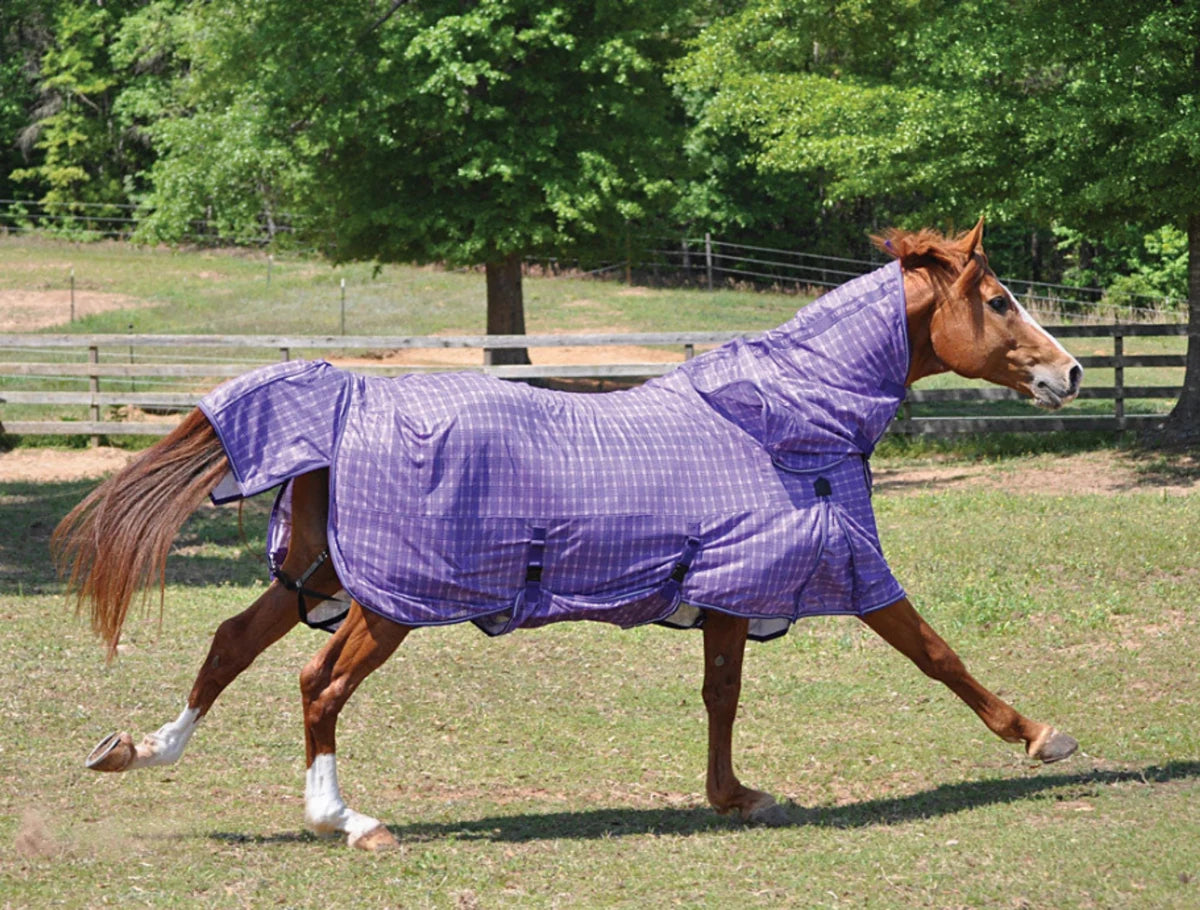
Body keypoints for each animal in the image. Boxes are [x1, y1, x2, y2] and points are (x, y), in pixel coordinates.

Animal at [54, 220, 1083, 851]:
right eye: (999, 301)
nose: (1069, 372)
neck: (780, 421)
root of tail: (345, 403)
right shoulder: (843, 573)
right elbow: (938, 654)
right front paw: (1041, 736)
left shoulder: (727, 591)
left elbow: (720, 695)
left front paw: (734, 797)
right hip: (391, 601)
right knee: (319, 683)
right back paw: (344, 820)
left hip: (321, 577)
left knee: (230, 645)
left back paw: (140, 750)